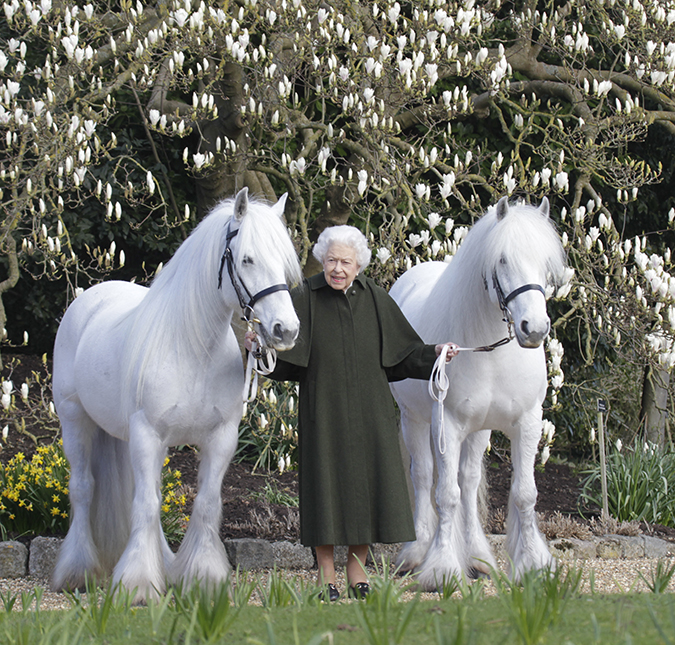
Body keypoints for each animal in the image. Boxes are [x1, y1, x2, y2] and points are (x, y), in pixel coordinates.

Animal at [54, 189, 302, 600]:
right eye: (247, 258)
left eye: (284, 263)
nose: (286, 330)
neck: (192, 349)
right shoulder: (147, 434)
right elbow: (146, 504)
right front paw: (138, 584)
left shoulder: (220, 438)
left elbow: (205, 503)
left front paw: (203, 577)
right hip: (75, 420)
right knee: (84, 489)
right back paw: (78, 571)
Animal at [390, 196, 572, 588]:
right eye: (502, 259)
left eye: (545, 262)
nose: (534, 328)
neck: (492, 351)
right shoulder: (447, 425)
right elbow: (445, 495)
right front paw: (441, 569)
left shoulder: (527, 423)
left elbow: (523, 493)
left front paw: (533, 564)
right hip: (414, 420)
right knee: (424, 476)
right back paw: (417, 552)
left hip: (479, 430)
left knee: (469, 481)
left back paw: (477, 558)